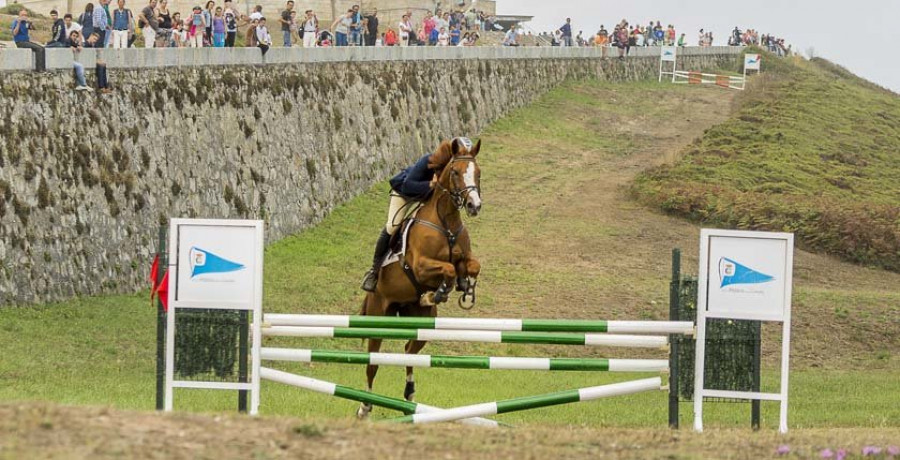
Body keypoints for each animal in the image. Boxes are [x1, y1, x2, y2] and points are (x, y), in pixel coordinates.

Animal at [356, 137, 486, 416]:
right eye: (456, 172)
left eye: (478, 172)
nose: (474, 206)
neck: (445, 221)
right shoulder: (420, 266)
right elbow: (447, 269)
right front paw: (441, 291)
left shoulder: (463, 258)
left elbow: (472, 266)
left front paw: (466, 290)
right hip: (378, 316)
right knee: (373, 363)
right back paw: (365, 406)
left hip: (422, 324)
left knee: (409, 351)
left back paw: (409, 395)